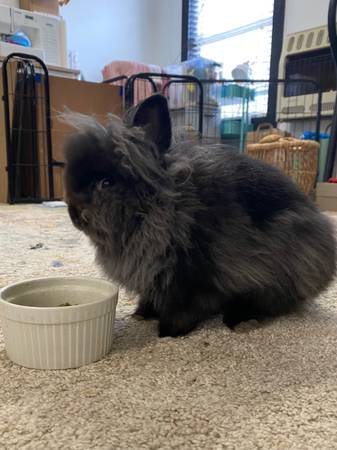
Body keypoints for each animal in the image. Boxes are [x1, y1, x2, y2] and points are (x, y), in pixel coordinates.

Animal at [62, 94, 334, 338]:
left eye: (106, 183)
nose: (73, 214)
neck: (158, 210)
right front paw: (142, 314)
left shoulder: (190, 277)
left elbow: (185, 307)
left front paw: (169, 331)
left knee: (273, 300)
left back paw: (241, 320)